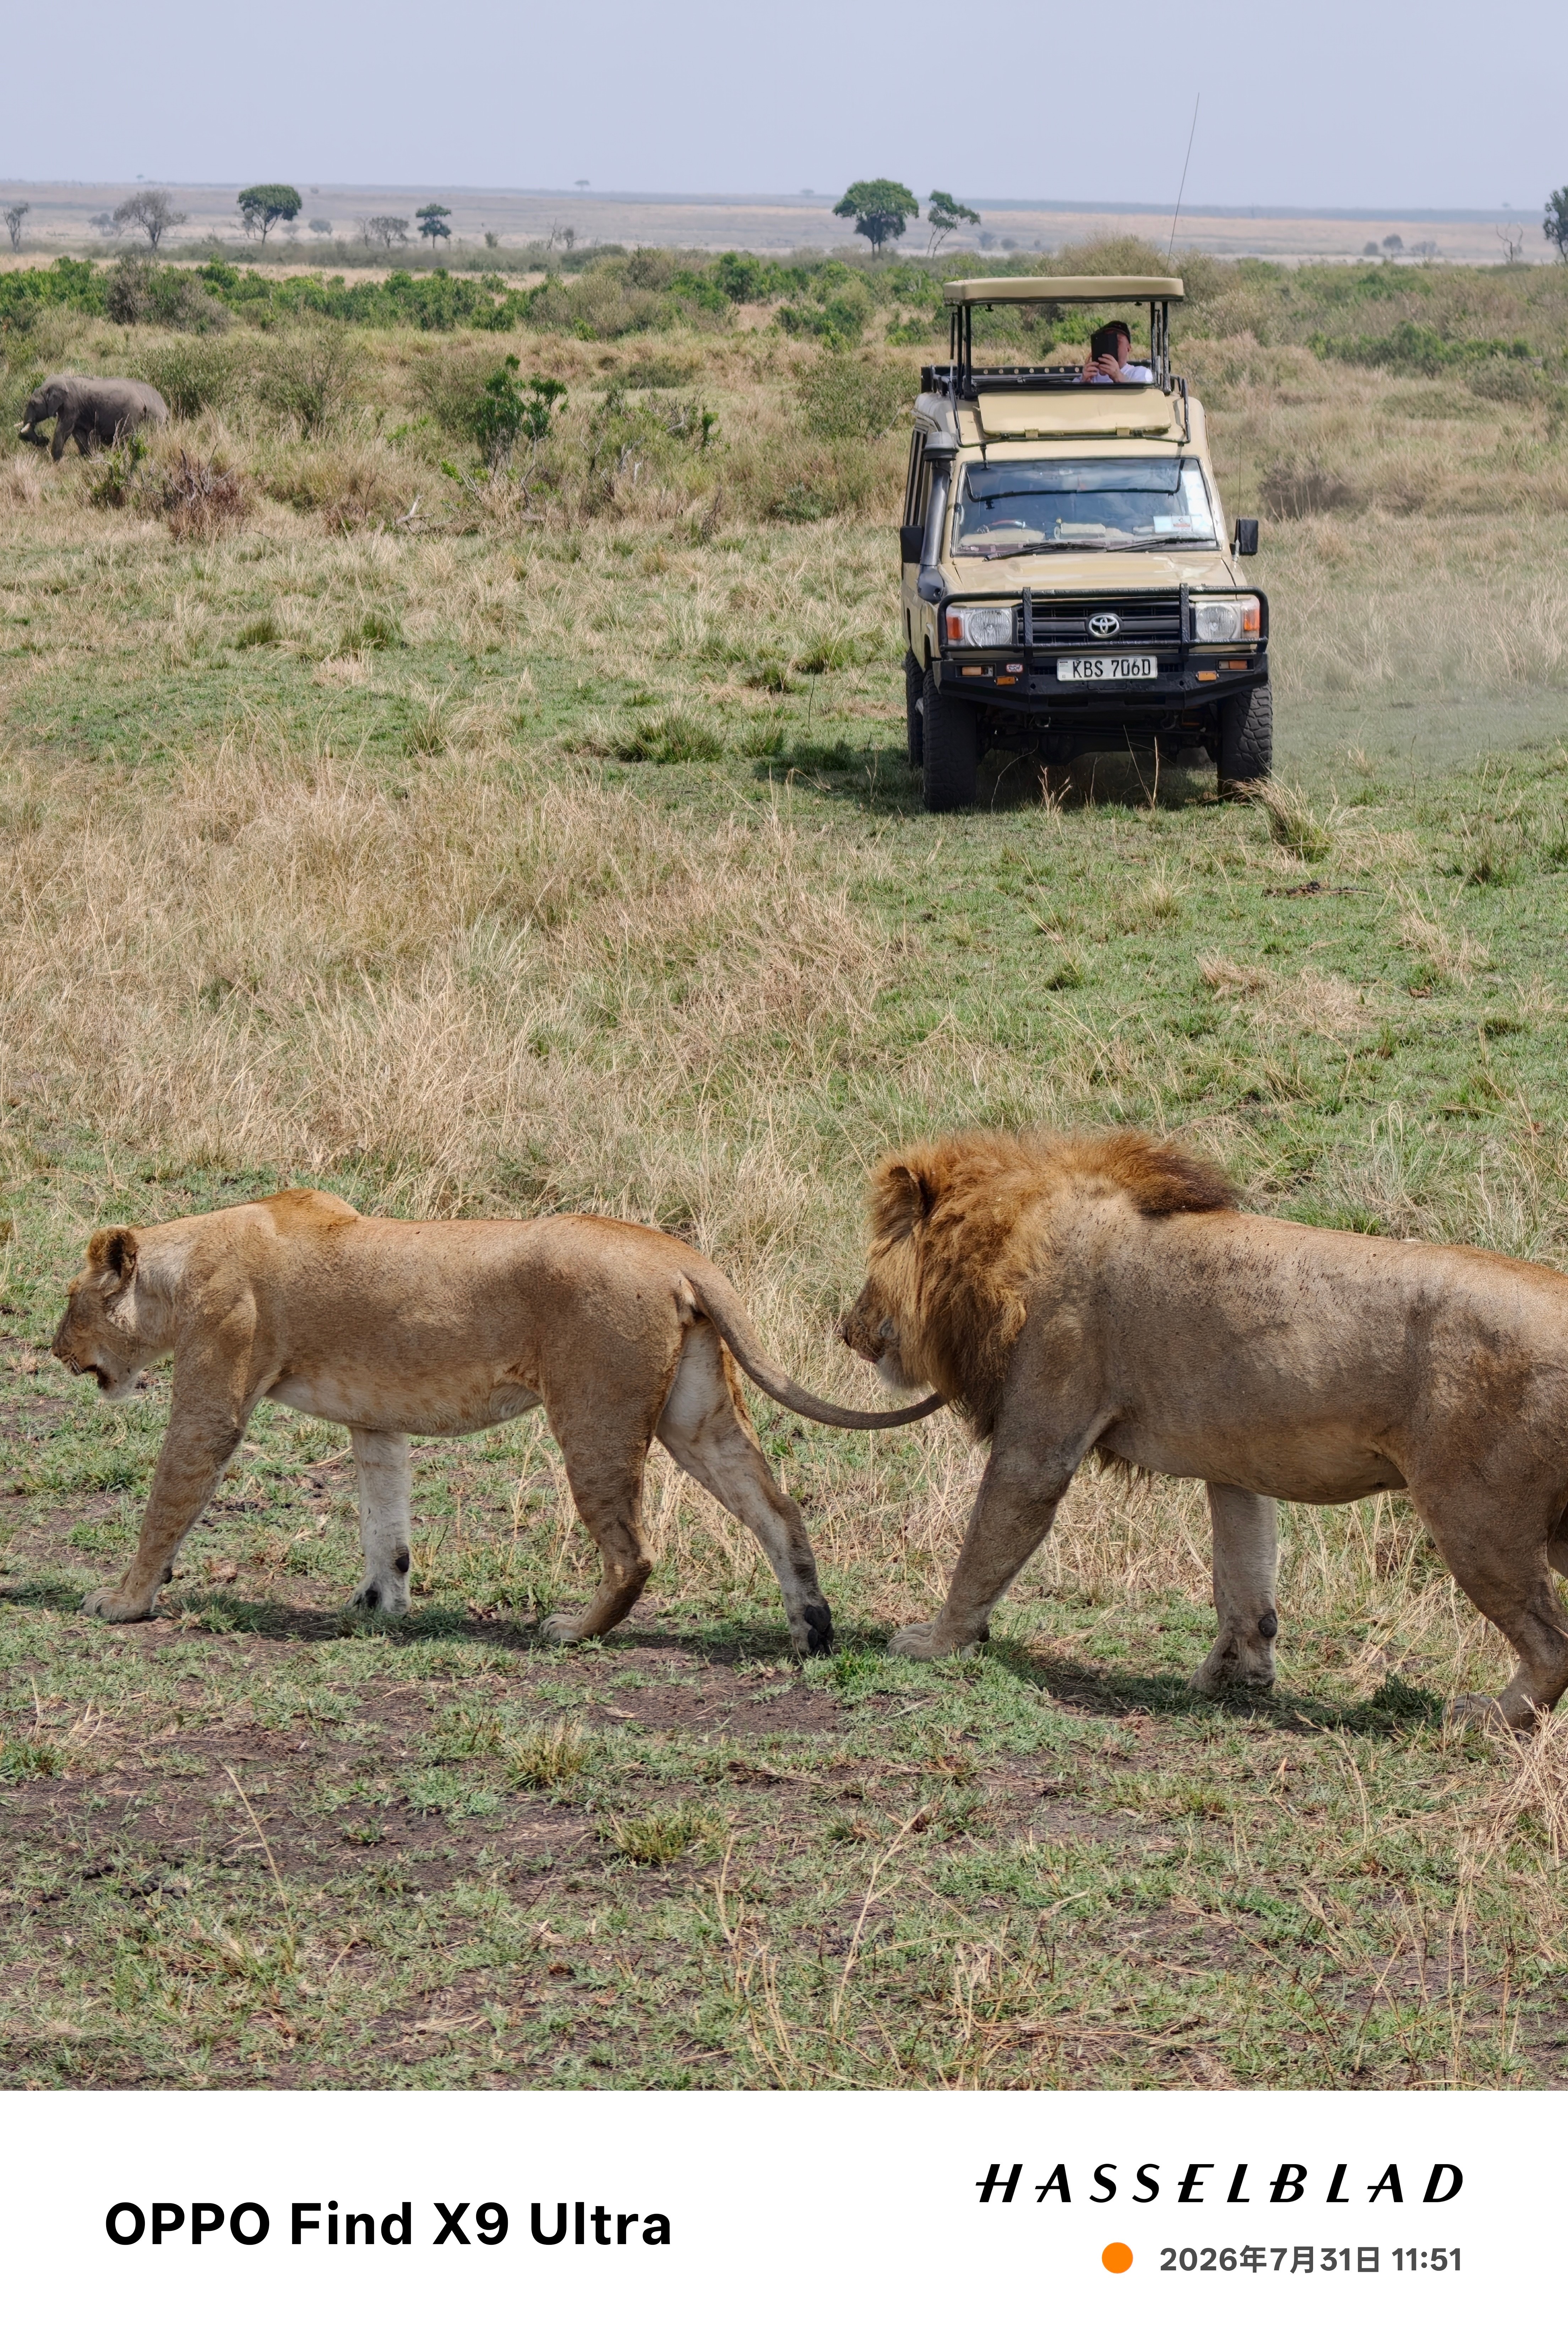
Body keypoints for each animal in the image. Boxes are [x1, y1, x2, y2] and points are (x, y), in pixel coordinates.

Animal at [18, 374, 169, 462]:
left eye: (34, 404)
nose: (44, 439)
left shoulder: (71, 405)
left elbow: (64, 430)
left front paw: (55, 462)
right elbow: (78, 434)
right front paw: (87, 457)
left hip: (133, 414)